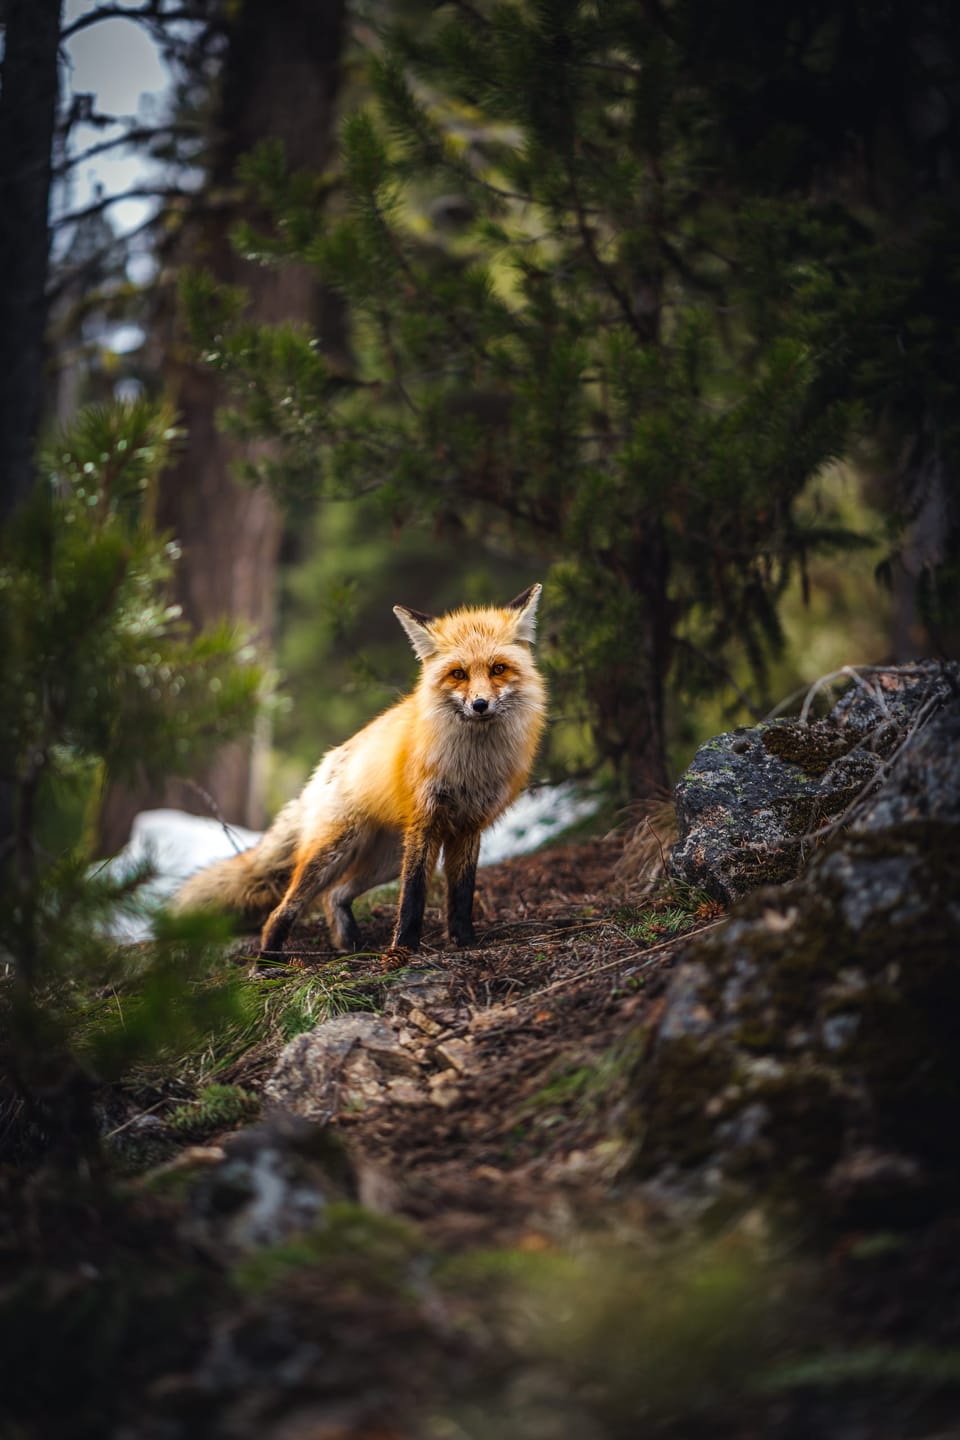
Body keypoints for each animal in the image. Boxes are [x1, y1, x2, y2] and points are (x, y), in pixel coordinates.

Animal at [174, 584, 547, 956]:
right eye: (458, 674)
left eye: (498, 669)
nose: (480, 705)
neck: (473, 764)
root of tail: (326, 764)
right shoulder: (425, 822)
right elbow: (413, 895)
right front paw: (402, 950)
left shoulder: (469, 825)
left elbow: (462, 893)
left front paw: (464, 941)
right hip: (336, 853)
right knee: (283, 910)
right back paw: (268, 961)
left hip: (385, 860)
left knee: (333, 895)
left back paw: (348, 944)